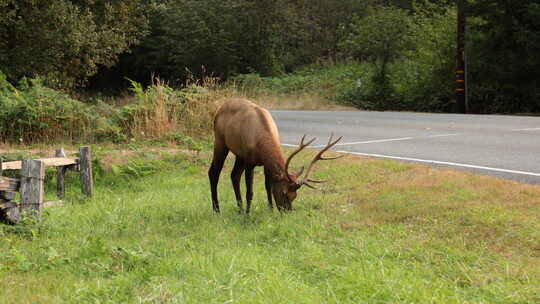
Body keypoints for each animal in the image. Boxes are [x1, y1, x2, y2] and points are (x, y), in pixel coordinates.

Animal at [208, 98, 342, 213]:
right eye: (284, 193)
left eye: (295, 195)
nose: (287, 211)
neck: (261, 143)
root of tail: (219, 108)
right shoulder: (250, 161)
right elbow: (250, 192)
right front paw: (248, 214)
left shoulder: (264, 163)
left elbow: (268, 186)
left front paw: (270, 210)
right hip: (220, 141)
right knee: (214, 172)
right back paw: (217, 210)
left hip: (239, 155)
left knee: (234, 175)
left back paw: (239, 209)